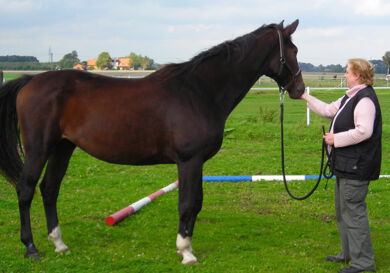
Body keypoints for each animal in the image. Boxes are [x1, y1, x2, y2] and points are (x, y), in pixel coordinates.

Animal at [0, 20, 304, 262]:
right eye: (294, 51)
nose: (299, 89)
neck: (199, 92)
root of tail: (29, 82)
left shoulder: (196, 163)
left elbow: (196, 202)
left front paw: (186, 247)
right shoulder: (189, 161)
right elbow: (188, 203)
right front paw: (186, 252)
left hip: (63, 147)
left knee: (49, 189)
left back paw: (59, 244)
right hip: (39, 148)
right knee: (26, 190)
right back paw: (31, 247)